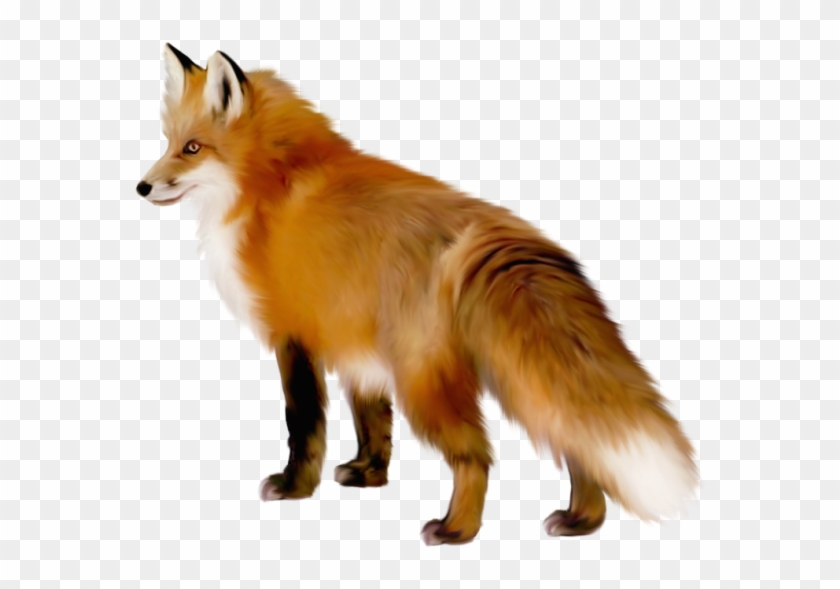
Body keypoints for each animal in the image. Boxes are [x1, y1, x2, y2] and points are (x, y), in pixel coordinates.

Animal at [137, 43, 698, 545]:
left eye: (192, 148)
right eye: (167, 142)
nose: (141, 187)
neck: (270, 183)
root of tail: (503, 237)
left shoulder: (293, 334)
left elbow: (304, 424)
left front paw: (295, 487)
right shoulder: (355, 346)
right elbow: (372, 421)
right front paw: (368, 474)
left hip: (423, 380)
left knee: (477, 455)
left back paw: (456, 530)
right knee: (576, 442)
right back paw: (582, 521)